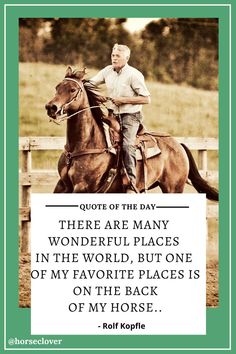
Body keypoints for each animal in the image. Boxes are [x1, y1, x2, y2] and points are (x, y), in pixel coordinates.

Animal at [45, 65, 218, 199]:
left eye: (73, 89)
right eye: (57, 87)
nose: (51, 107)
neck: (86, 144)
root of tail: (178, 145)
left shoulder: (83, 188)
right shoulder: (62, 185)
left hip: (173, 189)